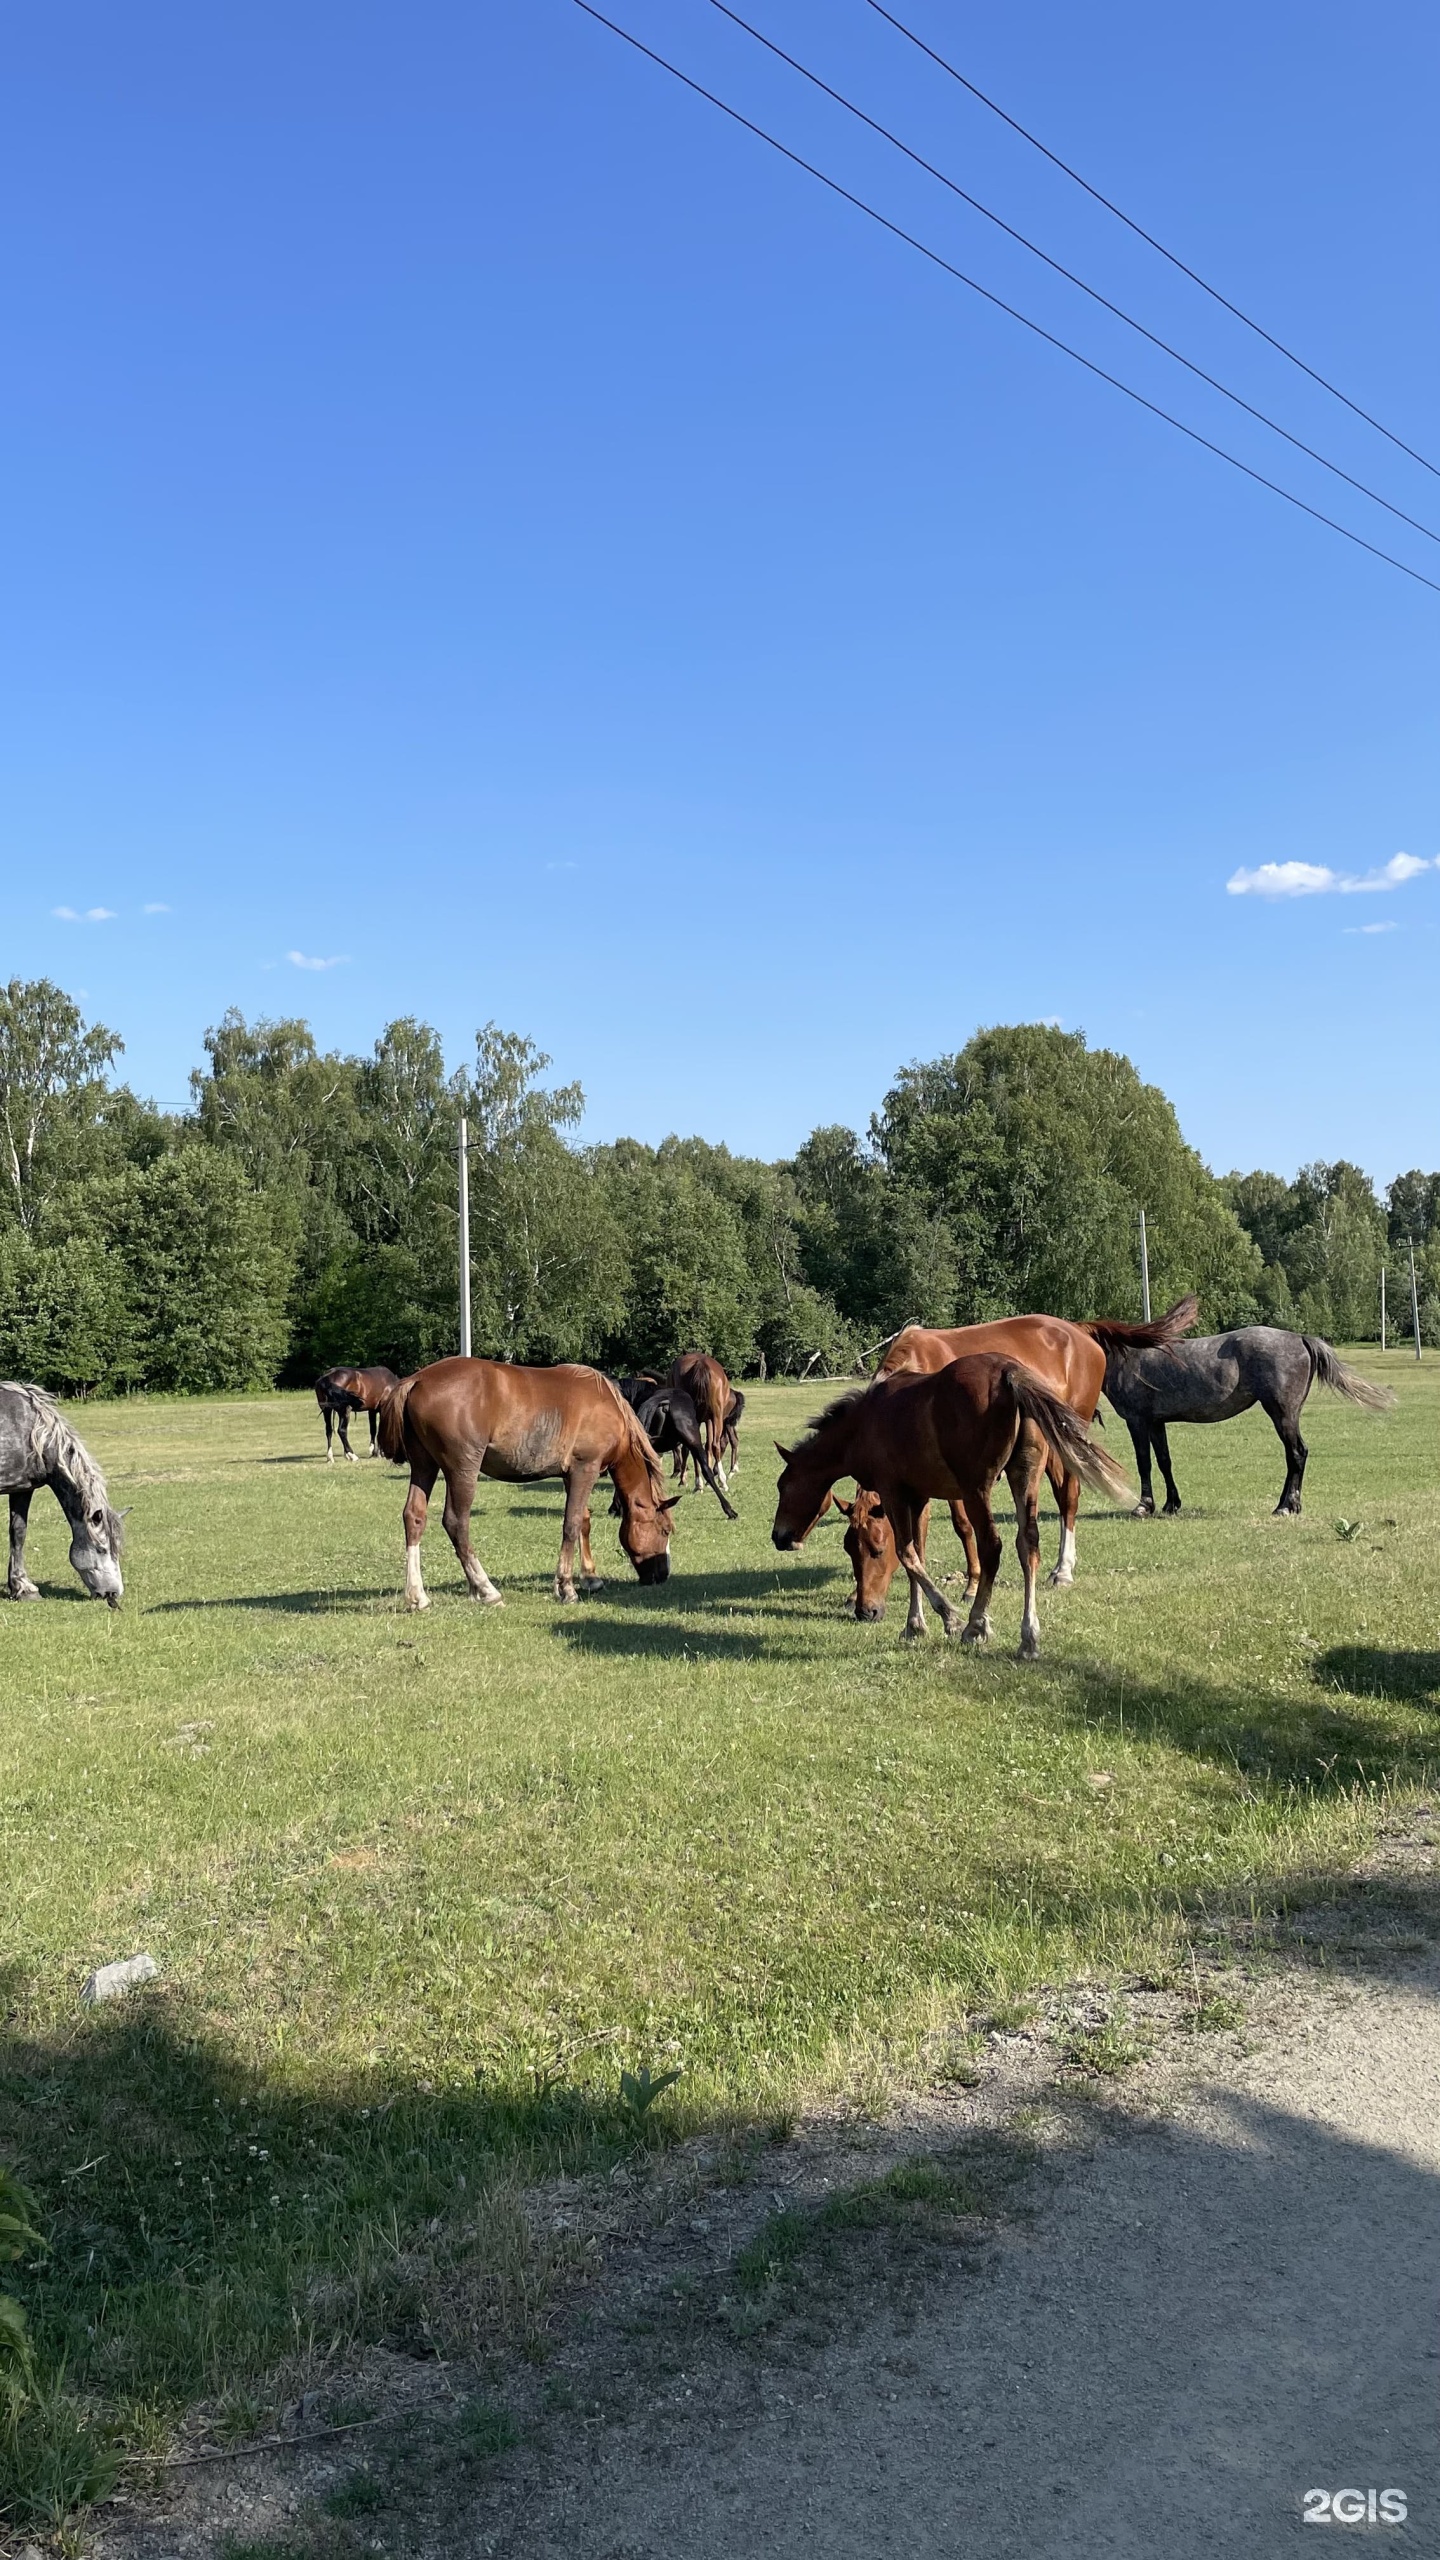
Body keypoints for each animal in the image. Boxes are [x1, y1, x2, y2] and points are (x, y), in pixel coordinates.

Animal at [376, 1361, 676, 1597]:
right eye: (664, 1531)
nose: (663, 1574)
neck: (606, 1404)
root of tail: (417, 1379)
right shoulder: (585, 1470)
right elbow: (571, 1523)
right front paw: (566, 1587)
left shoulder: (571, 1475)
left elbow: (583, 1521)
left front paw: (591, 1577)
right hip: (462, 1469)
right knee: (456, 1522)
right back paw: (485, 1589)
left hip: (424, 1466)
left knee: (414, 1517)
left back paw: (417, 1596)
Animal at [768, 1361, 1127, 1658]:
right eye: (848, 1549)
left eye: (783, 1485)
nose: (779, 1537)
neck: (865, 1424)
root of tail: (1009, 1372)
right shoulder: (918, 1497)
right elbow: (917, 1554)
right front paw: (914, 1625)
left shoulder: (894, 1492)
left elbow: (906, 1554)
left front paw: (949, 1618)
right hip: (1024, 1476)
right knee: (1028, 1544)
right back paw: (1029, 1638)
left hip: (976, 1489)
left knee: (991, 1546)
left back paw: (975, 1624)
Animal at [1086, 1310, 1393, 1505]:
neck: (1126, 1357)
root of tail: (1300, 1338)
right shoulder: (1156, 1422)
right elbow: (1164, 1461)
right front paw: (1171, 1504)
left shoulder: (1137, 1421)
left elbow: (1144, 1462)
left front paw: (1144, 1505)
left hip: (1283, 1413)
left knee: (1296, 1453)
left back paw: (1286, 1506)